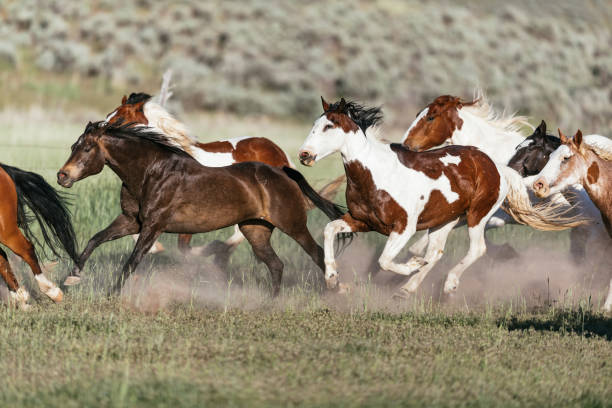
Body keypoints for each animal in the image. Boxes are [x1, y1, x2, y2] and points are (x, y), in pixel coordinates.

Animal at [56, 121, 344, 296]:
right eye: (73, 146)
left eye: (87, 147)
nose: (62, 176)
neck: (150, 172)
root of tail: (284, 172)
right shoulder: (130, 221)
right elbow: (94, 240)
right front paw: (71, 279)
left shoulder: (154, 226)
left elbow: (132, 260)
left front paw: (112, 294)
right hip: (256, 230)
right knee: (276, 264)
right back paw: (270, 304)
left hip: (293, 225)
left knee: (317, 254)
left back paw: (335, 290)